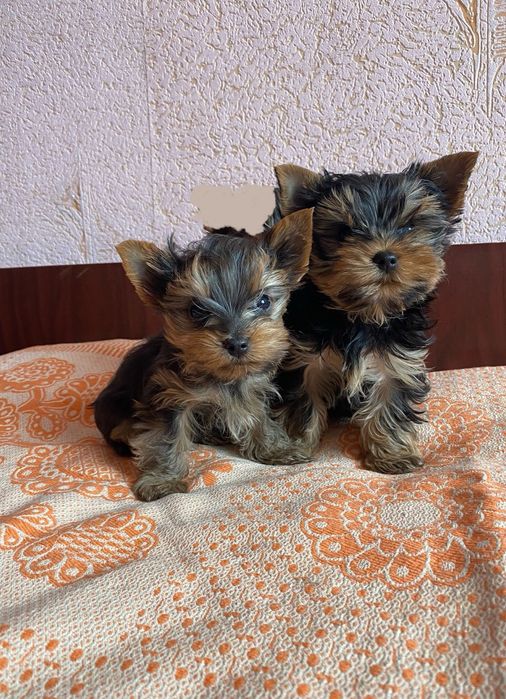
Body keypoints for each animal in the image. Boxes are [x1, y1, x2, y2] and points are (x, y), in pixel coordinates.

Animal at [93, 208, 313, 501]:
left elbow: (258, 417)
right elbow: (165, 437)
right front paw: (162, 481)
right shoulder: (168, 397)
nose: (237, 344)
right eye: (196, 311)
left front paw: (276, 449)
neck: (221, 375)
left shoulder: (251, 388)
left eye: (264, 301)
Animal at [265, 152, 478, 473]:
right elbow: (302, 403)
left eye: (408, 228)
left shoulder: (398, 361)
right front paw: (295, 444)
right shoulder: (304, 362)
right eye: (343, 232)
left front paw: (393, 455)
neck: (363, 315)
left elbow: (390, 403)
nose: (386, 256)